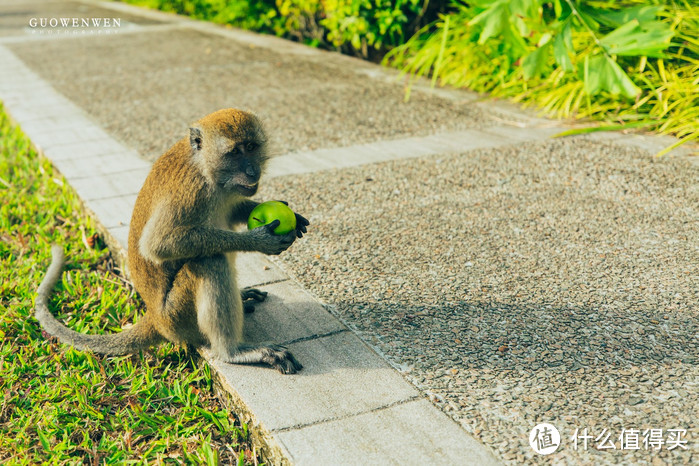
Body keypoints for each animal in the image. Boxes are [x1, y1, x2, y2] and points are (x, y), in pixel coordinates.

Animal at [34, 109, 308, 374]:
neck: (205, 168)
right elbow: (159, 244)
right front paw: (260, 240)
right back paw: (233, 351)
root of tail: (155, 318)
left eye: (251, 147)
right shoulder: (192, 192)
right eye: (234, 153)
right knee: (210, 260)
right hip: (178, 316)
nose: (252, 171)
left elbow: (234, 210)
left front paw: (295, 218)